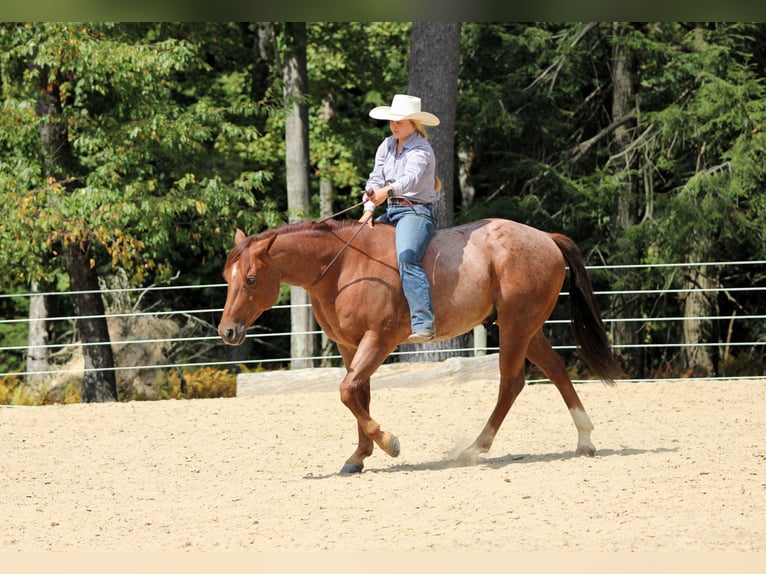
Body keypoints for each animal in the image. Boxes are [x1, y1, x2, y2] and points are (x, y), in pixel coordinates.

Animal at [218, 218, 623, 474]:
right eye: (227, 276)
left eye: (250, 279)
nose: (227, 331)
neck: (343, 267)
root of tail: (545, 237)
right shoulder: (350, 346)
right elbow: (358, 394)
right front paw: (359, 456)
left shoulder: (378, 340)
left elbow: (348, 392)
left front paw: (388, 442)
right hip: (527, 329)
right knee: (555, 369)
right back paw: (584, 439)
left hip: (515, 327)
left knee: (512, 383)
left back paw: (476, 447)